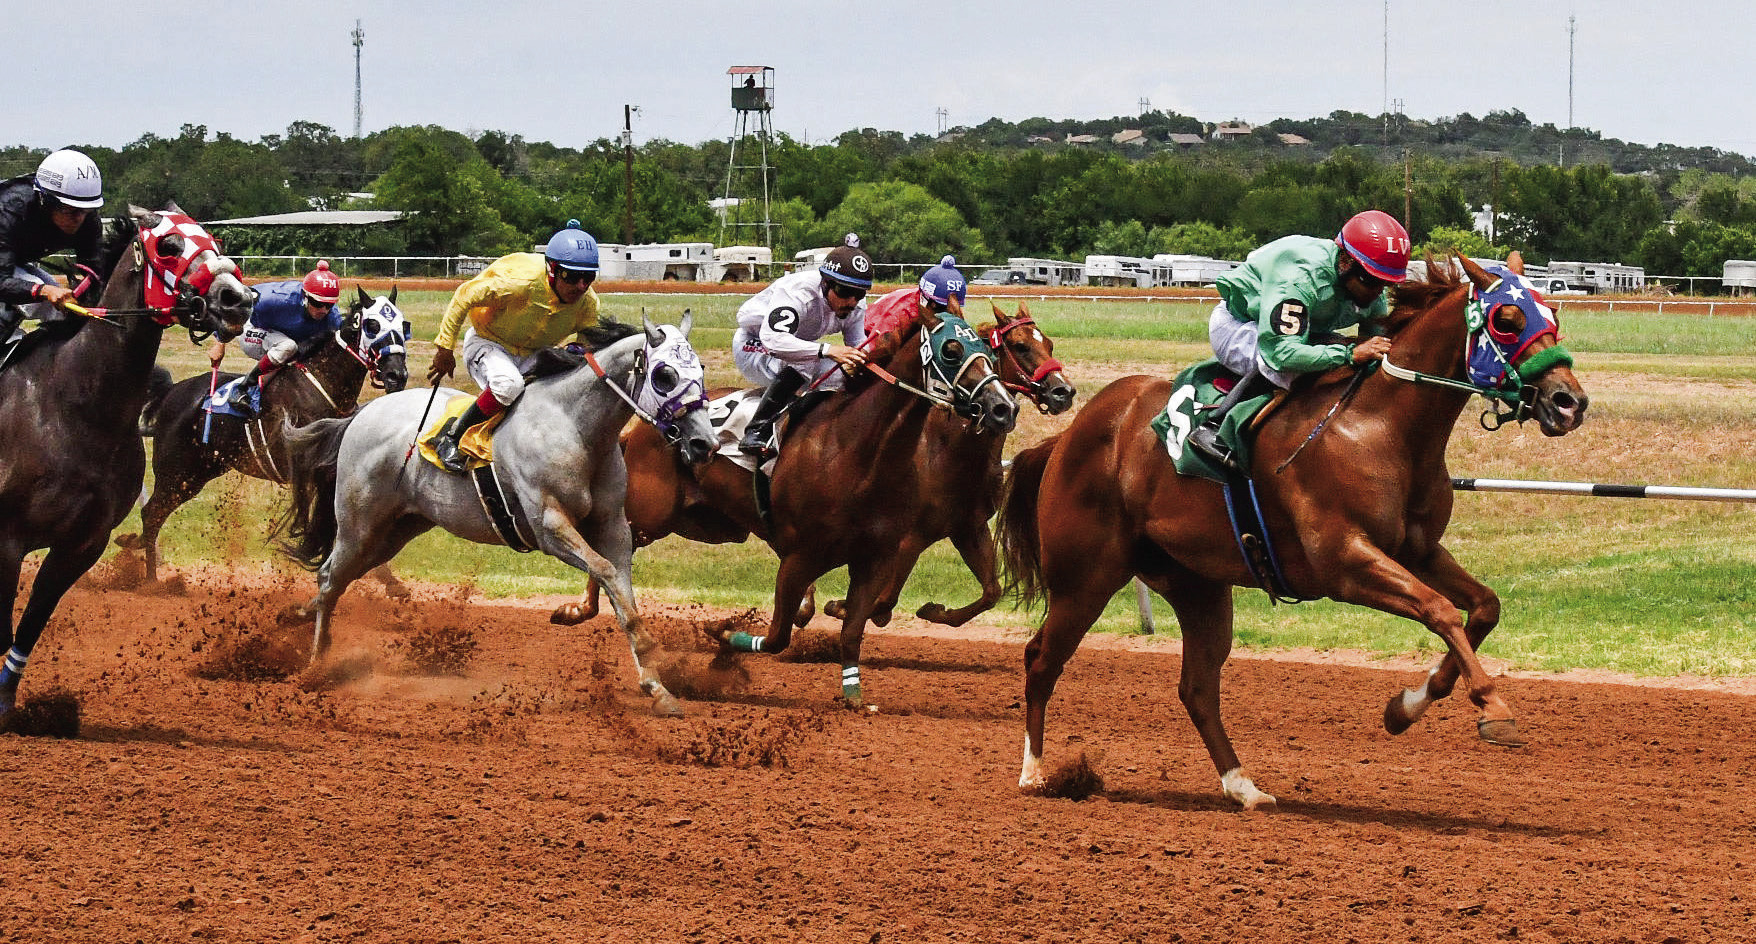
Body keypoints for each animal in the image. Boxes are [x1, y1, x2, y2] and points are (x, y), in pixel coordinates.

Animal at [0, 201, 254, 708]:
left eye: (213, 240)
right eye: (169, 245)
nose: (238, 298)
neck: (76, 406)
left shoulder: (82, 544)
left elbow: (30, 626)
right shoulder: (7, 538)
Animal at [121, 282, 414, 582]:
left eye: (404, 325)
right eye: (371, 325)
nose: (396, 375)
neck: (322, 384)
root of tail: (171, 393)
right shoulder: (307, 469)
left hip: (198, 474)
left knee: (153, 514)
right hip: (175, 472)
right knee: (151, 514)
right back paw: (151, 580)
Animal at [277, 315, 709, 712]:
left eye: (700, 369)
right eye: (665, 374)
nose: (704, 443)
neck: (573, 426)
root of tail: (360, 414)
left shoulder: (613, 526)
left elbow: (620, 589)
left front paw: (655, 685)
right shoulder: (549, 526)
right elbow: (604, 571)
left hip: (395, 531)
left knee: (339, 577)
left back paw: (296, 616)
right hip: (359, 523)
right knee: (330, 577)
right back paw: (316, 664)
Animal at [1004, 252, 1594, 803]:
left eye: (1554, 313)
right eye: (1507, 319)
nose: (1570, 402)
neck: (1381, 426)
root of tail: (1069, 435)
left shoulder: (1419, 550)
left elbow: (1484, 607)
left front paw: (1405, 707)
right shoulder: (1344, 561)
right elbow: (1441, 609)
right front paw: (1493, 707)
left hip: (1196, 584)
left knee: (1197, 688)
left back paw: (1243, 787)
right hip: (1085, 578)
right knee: (1041, 659)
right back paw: (1034, 773)